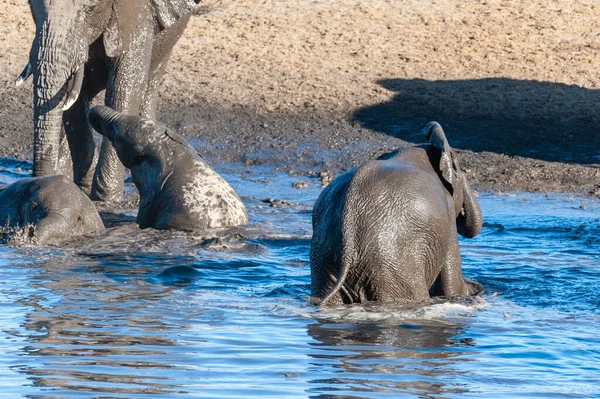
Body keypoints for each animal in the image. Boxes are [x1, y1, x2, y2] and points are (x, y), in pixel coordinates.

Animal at [19, 0, 200, 202]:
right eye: (31, 4)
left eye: (90, 8)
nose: (42, 180)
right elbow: (75, 95)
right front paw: (81, 189)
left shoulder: (138, 13)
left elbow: (123, 90)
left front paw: (105, 200)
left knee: (151, 83)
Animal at [310, 122, 482, 306]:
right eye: (459, 170)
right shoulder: (447, 211)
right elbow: (451, 285)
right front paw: (474, 289)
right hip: (391, 266)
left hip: (324, 257)